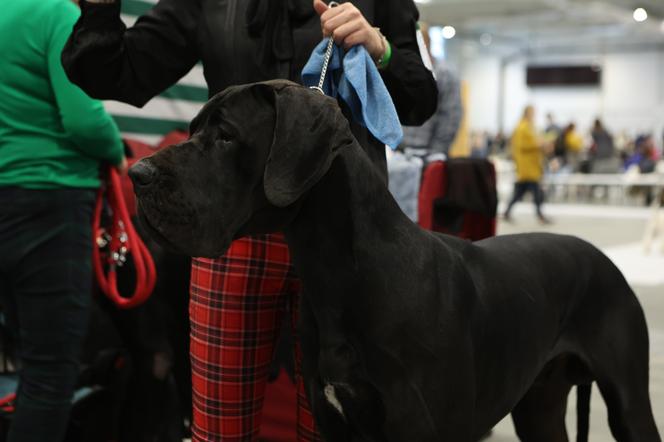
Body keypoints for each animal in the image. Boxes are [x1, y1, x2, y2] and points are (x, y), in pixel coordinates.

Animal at [128, 80, 660, 442]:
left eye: (225, 136)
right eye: (193, 129)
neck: (341, 271)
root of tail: (600, 256)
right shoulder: (335, 423)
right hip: (540, 406)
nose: (136, 173)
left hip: (629, 401)